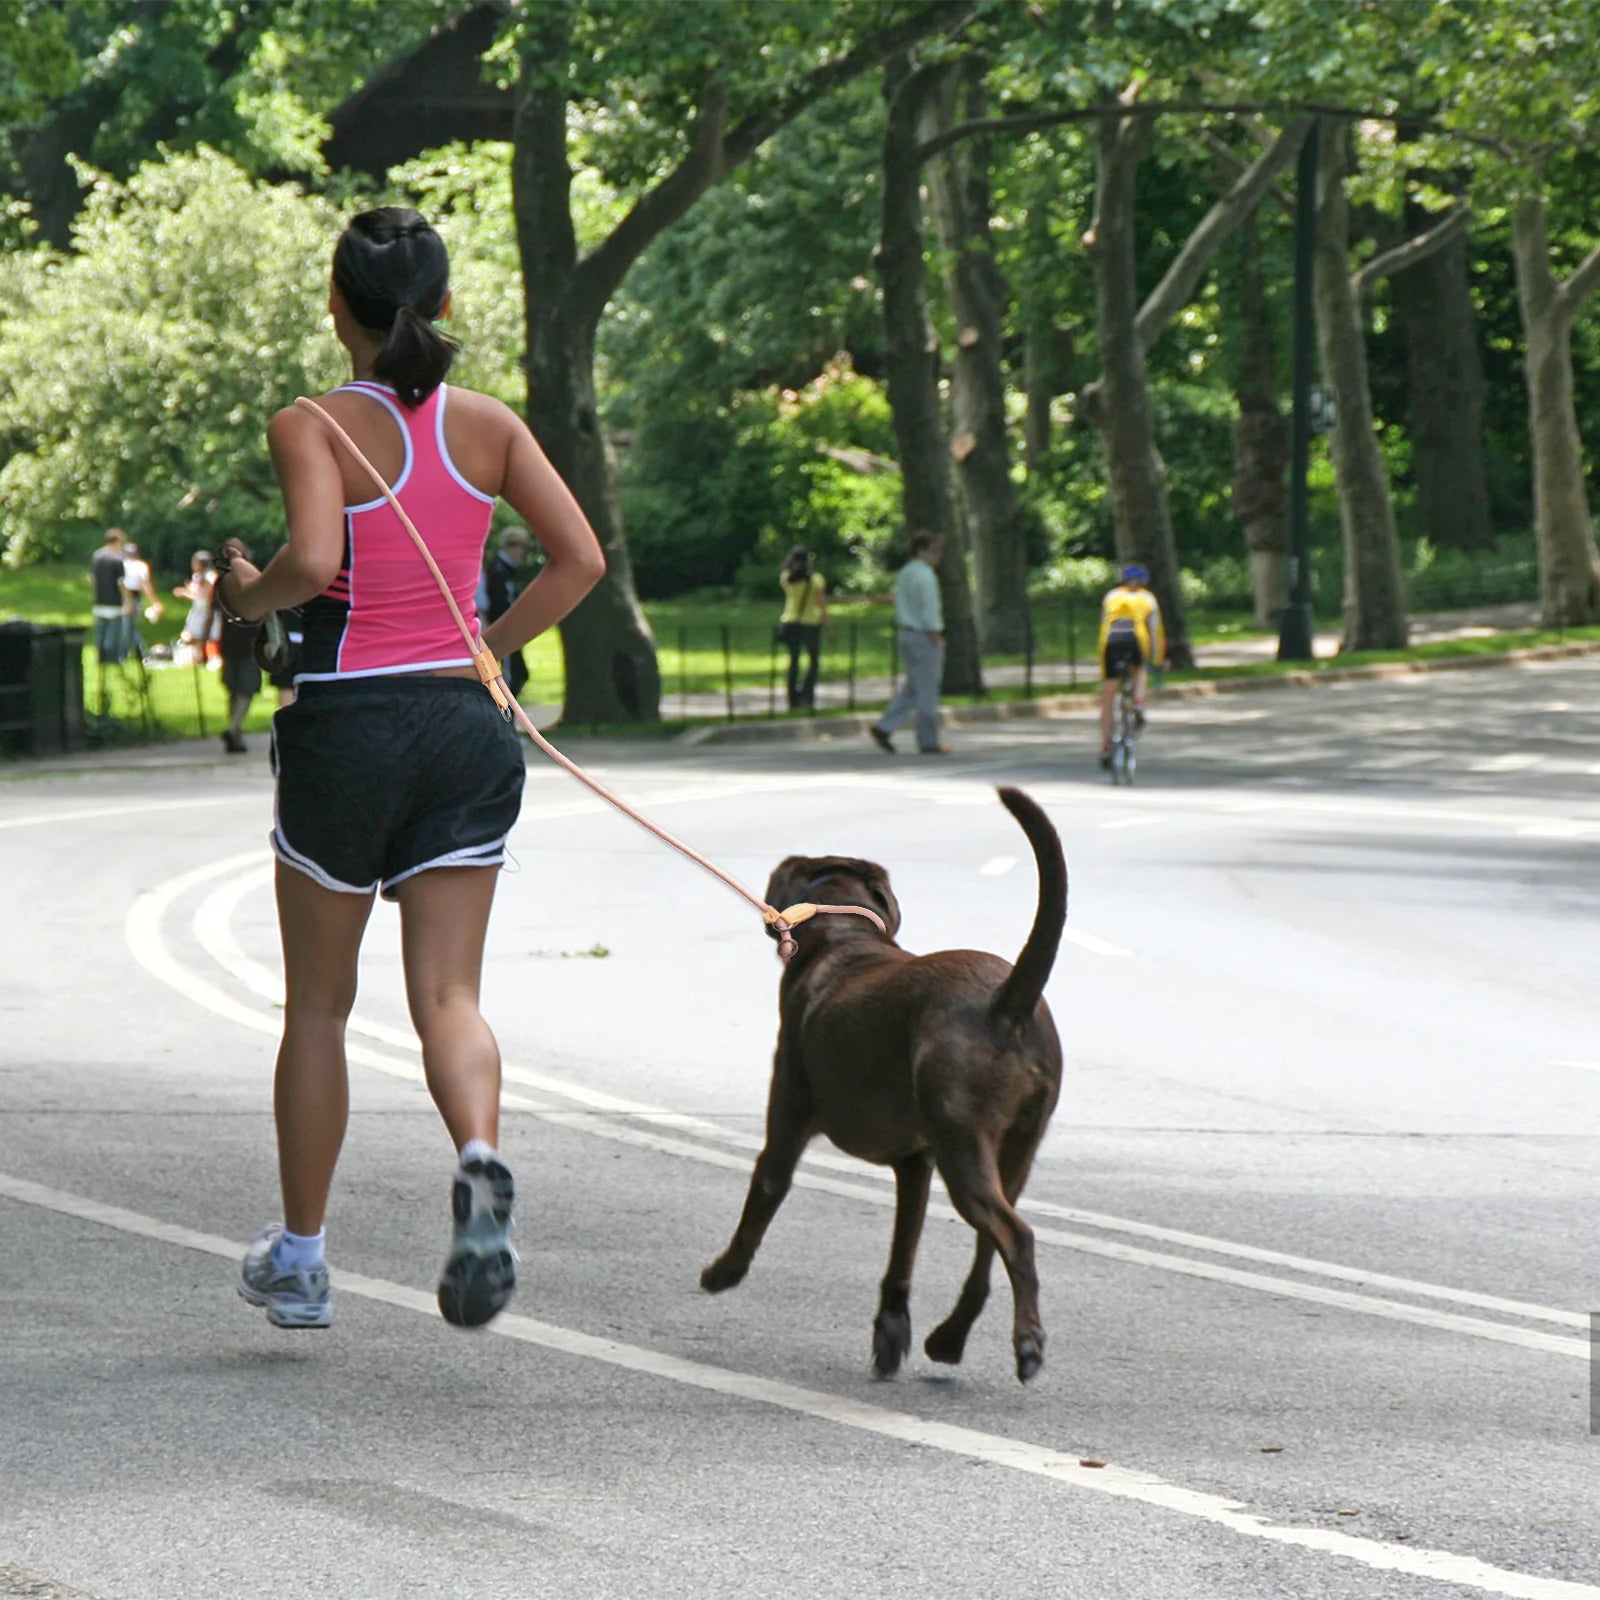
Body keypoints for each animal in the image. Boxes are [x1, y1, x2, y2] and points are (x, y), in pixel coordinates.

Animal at [700, 784, 1062, 1376]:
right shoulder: (916, 1163)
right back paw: (949, 1339)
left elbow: (765, 1192)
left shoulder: (786, 1123)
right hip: (1015, 1149)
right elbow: (902, 1252)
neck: (844, 936)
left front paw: (723, 1271)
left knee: (1017, 1236)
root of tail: (1007, 1001)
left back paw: (1027, 1343)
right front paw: (892, 1333)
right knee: (989, 1252)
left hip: (965, 1147)